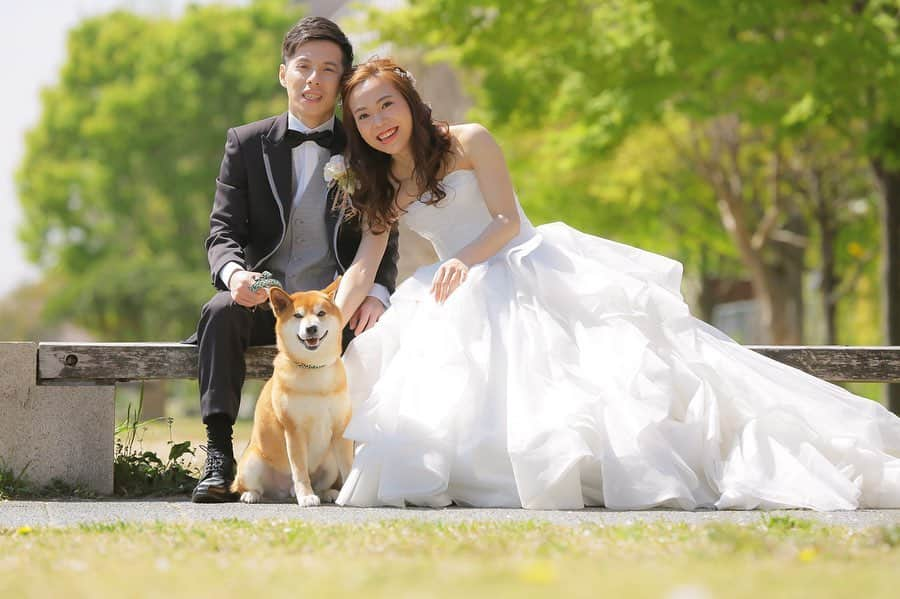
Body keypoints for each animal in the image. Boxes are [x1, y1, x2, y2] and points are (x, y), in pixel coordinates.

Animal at [230, 280, 354, 506]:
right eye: (298, 315)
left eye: (321, 313)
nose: (311, 328)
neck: (314, 369)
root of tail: (283, 491)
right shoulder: (294, 429)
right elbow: (300, 471)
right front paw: (305, 496)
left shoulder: (341, 427)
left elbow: (348, 467)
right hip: (252, 462)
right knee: (249, 486)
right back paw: (251, 495)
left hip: (329, 462)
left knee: (322, 483)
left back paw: (329, 493)